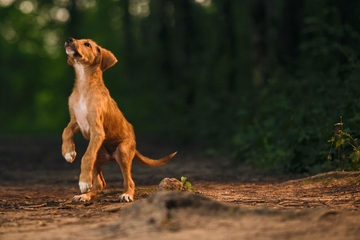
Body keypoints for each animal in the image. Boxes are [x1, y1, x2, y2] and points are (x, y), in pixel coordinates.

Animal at [62, 38, 177, 202]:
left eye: (87, 44)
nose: (69, 40)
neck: (84, 85)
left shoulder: (96, 129)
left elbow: (86, 156)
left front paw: (83, 182)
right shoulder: (76, 121)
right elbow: (65, 131)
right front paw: (68, 152)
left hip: (122, 151)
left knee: (129, 181)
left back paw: (126, 194)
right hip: (99, 156)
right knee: (101, 183)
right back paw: (85, 196)